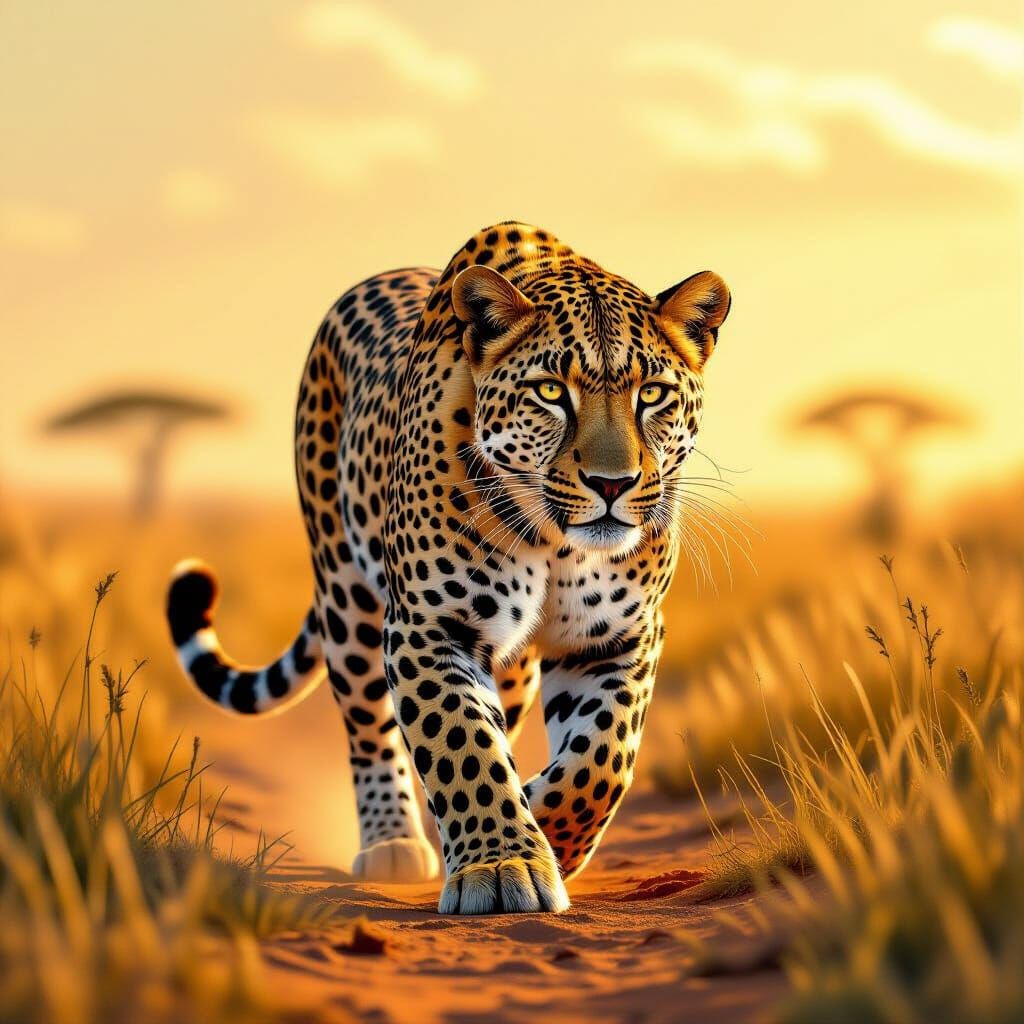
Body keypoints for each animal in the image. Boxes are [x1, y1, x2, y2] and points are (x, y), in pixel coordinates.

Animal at [166, 221, 731, 915]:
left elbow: (602, 759)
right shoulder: (431, 627)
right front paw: (503, 863)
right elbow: (462, 745)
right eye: (551, 392)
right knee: (369, 725)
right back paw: (394, 843)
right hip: (345, 595)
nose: (611, 483)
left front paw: (546, 834)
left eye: (652, 395)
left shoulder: (618, 637)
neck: (558, 544)